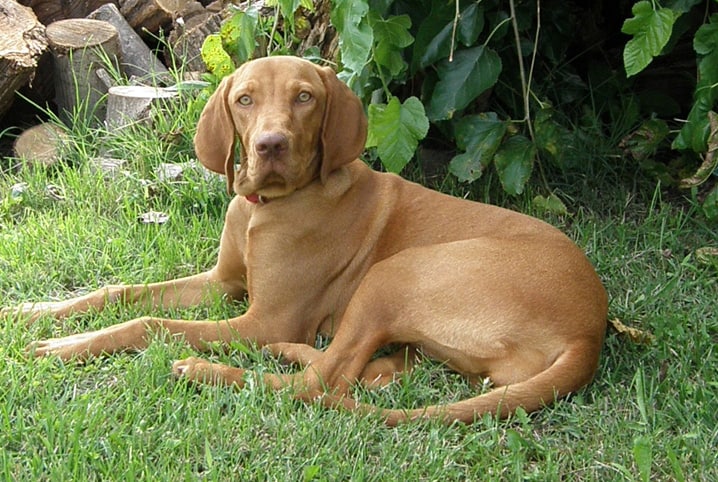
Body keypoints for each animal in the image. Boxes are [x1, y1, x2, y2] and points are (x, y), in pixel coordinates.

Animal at [1, 57, 608, 426]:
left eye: (304, 98)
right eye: (244, 100)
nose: (269, 145)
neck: (264, 208)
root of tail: (590, 330)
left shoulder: (263, 316)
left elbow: (148, 322)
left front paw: (65, 346)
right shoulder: (223, 284)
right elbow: (121, 293)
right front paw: (32, 312)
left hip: (397, 273)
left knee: (317, 385)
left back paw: (210, 370)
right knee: (365, 374)